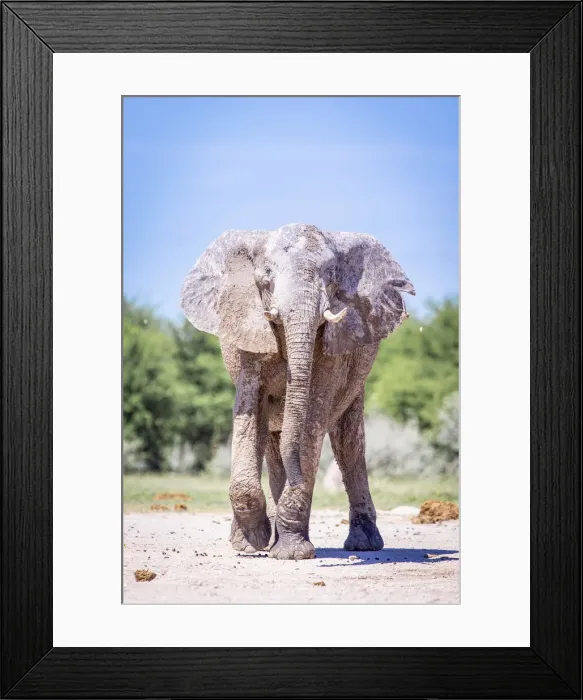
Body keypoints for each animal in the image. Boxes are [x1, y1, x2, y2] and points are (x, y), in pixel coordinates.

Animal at [180, 223, 415, 560]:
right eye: (266, 274)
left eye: (331, 274)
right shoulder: (247, 333)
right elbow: (250, 411)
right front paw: (254, 540)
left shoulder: (334, 343)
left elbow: (311, 420)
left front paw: (291, 552)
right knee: (273, 443)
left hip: (358, 377)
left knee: (348, 445)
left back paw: (363, 544)